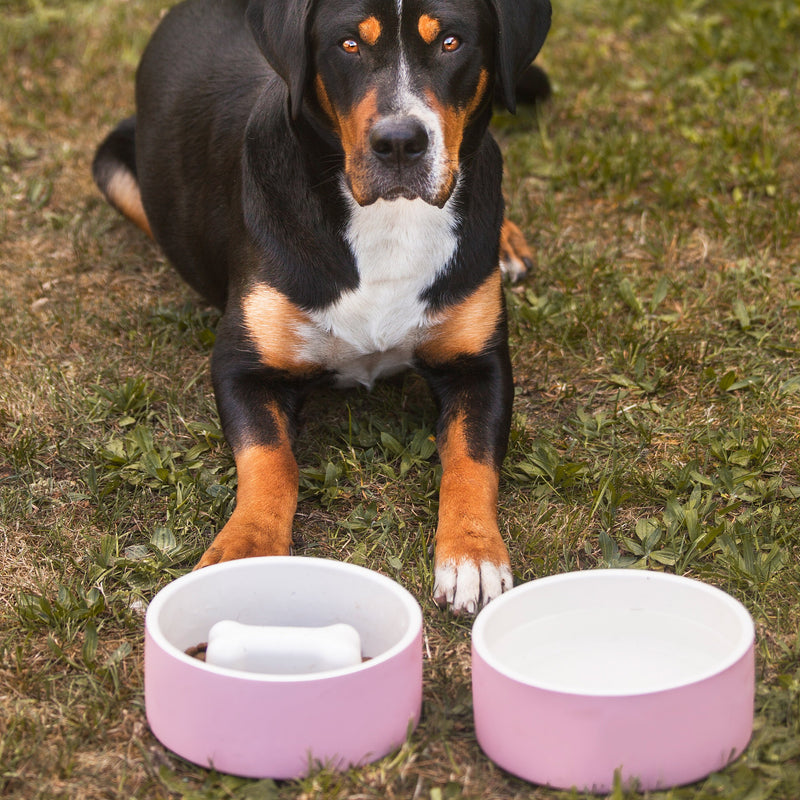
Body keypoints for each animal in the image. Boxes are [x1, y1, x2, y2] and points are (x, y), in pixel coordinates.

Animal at [90, 0, 548, 616]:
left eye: (451, 42)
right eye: (348, 45)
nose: (399, 142)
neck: (386, 220)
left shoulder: (479, 363)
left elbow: (472, 461)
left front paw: (472, 553)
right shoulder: (242, 366)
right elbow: (269, 461)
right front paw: (245, 552)